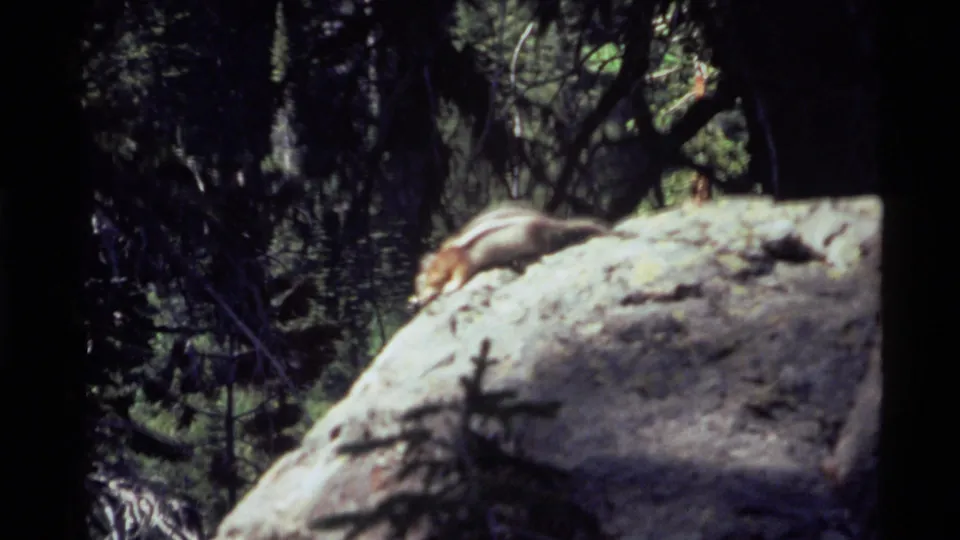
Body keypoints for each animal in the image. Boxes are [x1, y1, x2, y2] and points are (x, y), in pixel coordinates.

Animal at [408, 204, 612, 309]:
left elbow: (460, 277)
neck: (446, 255)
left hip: (538, 242)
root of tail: (549, 222)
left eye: (433, 282)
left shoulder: (463, 262)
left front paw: (449, 288)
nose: (420, 301)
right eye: (418, 286)